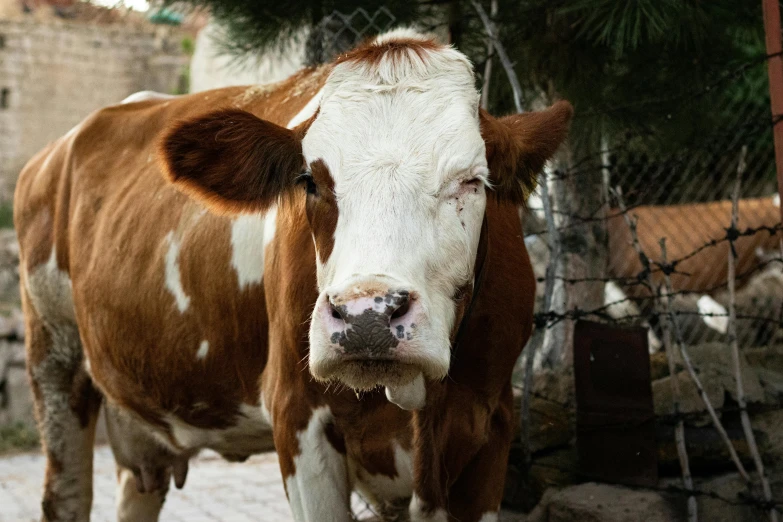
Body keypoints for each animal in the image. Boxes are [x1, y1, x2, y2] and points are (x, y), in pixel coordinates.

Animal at [15, 30, 572, 516]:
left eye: (472, 181)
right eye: (310, 180)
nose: (368, 316)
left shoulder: (491, 425)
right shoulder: (299, 416)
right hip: (53, 357)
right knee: (65, 495)